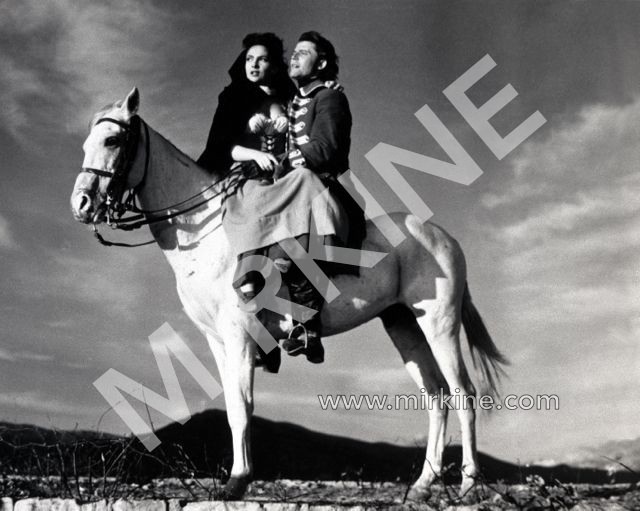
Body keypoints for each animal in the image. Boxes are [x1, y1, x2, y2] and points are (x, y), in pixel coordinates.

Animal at [70, 89, 508, 504]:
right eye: (85, 143)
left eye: (112, 139)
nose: (81, 205)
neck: (211, 232)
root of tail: (442, 236)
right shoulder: (216, 340)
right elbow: (232, 407)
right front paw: (236, 479)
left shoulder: (239, 333)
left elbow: (243, 406)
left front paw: (238, 482)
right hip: (403, 325)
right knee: (436, 397)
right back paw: (422, 486)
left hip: (439, 324)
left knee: (463, 395)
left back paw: (469, 485)